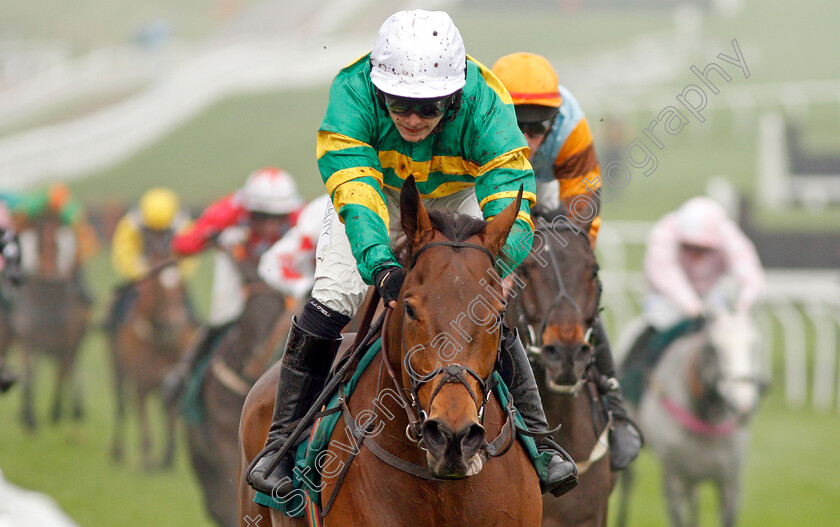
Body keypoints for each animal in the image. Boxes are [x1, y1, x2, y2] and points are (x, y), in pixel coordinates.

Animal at [11, 212, 91, 432]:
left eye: (61, 244)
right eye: (38, 243)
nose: (53, 281)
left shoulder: (68, 340)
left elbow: (62, 372)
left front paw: (56, 412)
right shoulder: (28, 336)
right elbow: (30, 370)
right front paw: (29, 417)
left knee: (70, 368)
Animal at [108, 227, 197, 470]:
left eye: (181, 288)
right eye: (158, 289)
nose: (176, 324)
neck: (161, 340)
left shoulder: (173, 377)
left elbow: (171, 416)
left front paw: (168, 458)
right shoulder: (141, 383)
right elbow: (143, 420)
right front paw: (147, 461)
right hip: (116, 367)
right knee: (120, 404)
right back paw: (117, 450)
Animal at [616, 312, 768, 527]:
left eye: (755, 346)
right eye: (713, 348)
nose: (743, 404)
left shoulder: (729, 482)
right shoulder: (675, 478)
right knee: (627, 486)